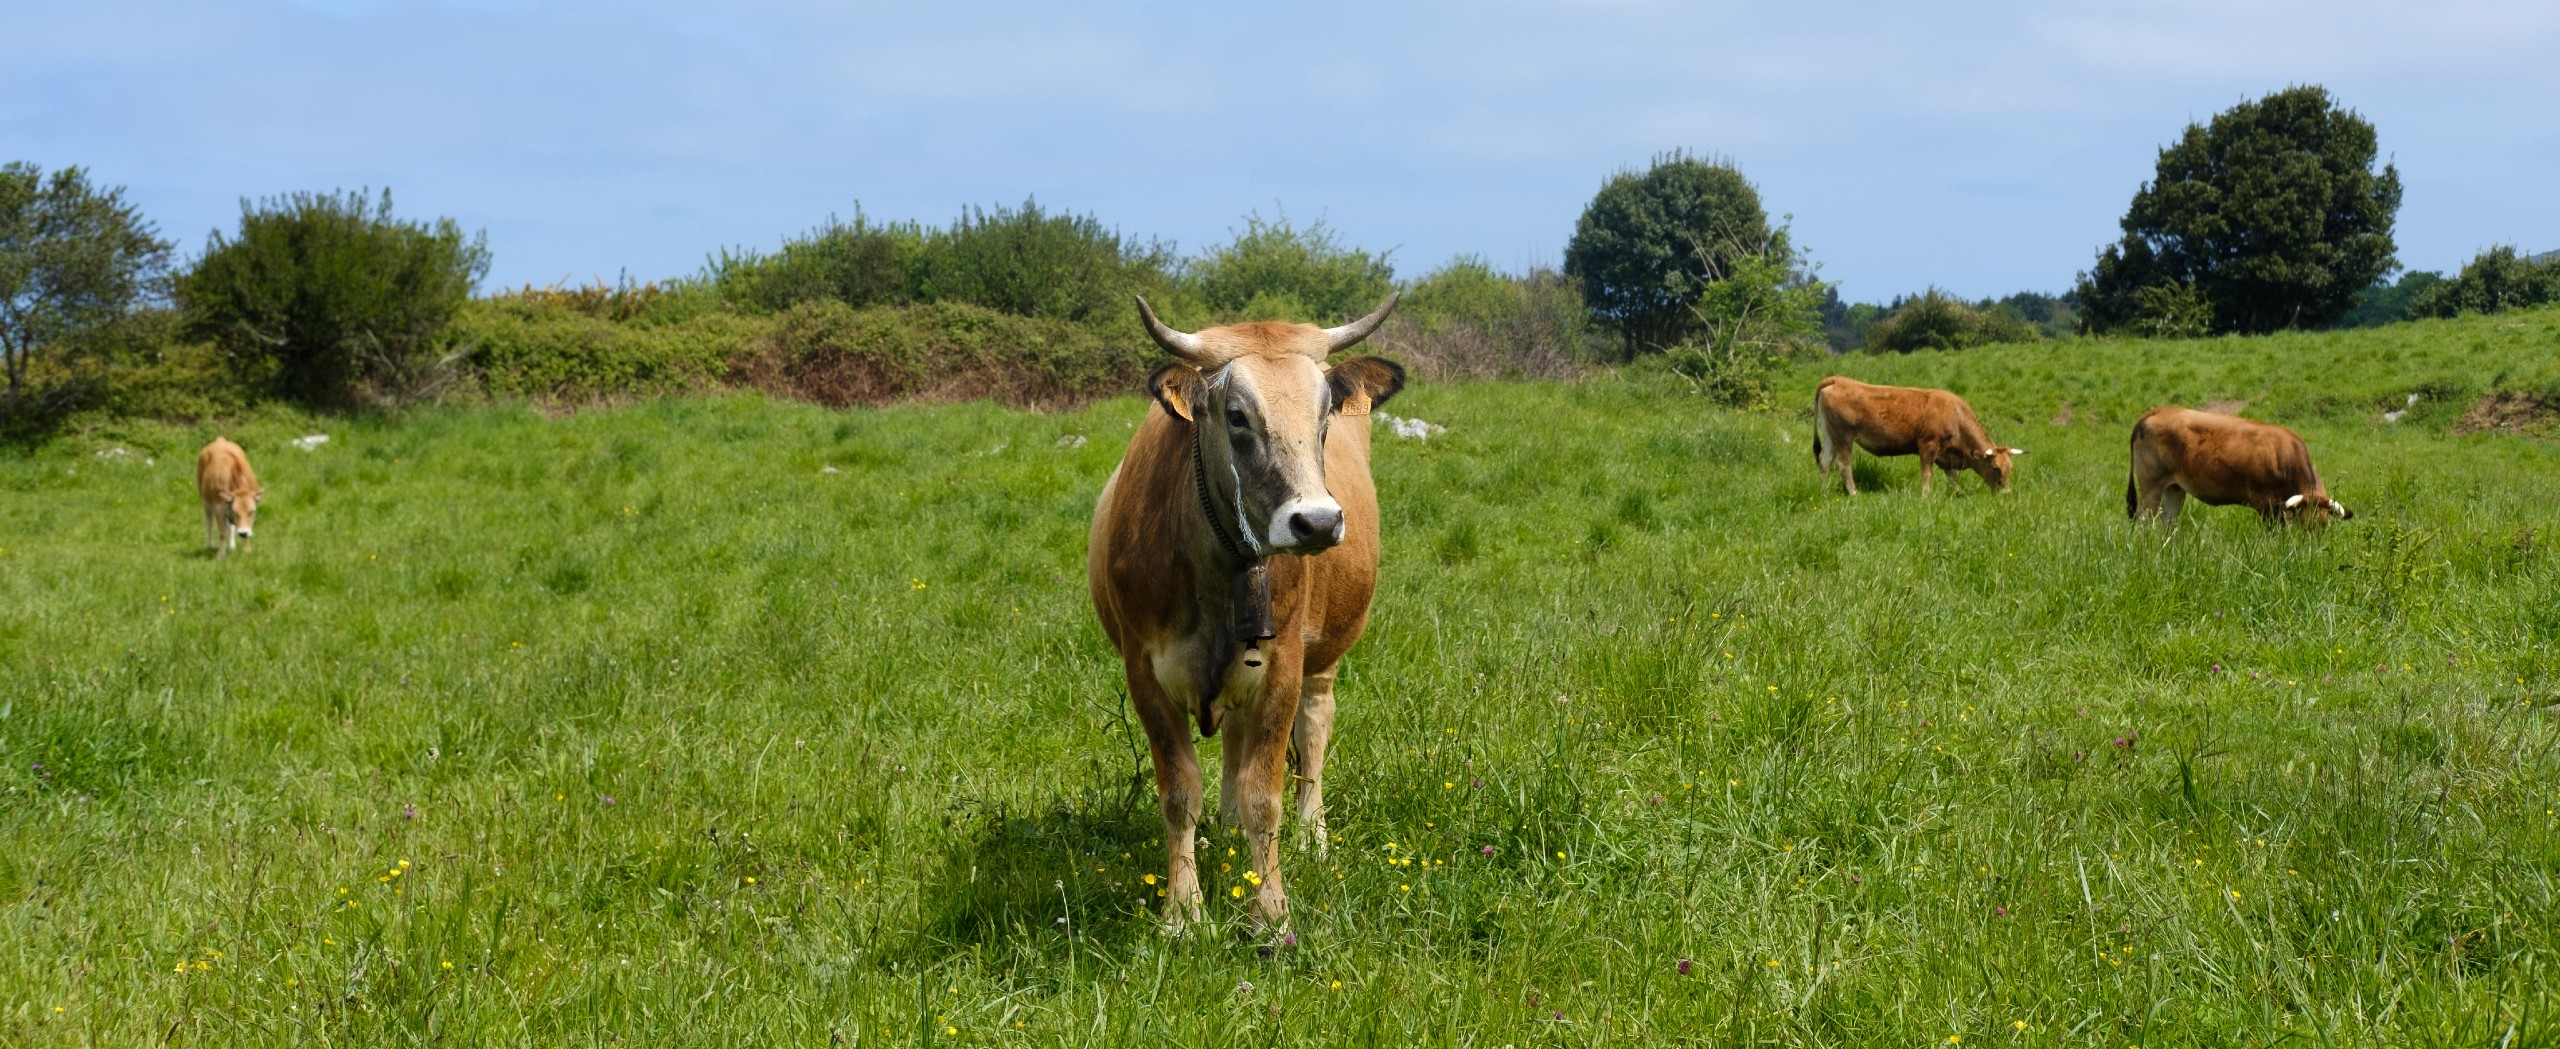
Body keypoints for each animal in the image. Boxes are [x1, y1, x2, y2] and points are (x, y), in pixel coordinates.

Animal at [1080, 292, 1402, 936]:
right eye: (1235, 415)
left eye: (1325, 414)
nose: (1317, 522)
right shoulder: (1144, 672)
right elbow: (1180, 792)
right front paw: (1182, 911)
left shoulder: (1282, 669)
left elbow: (1265, 792)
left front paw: (1271, 912)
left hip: (1323, 659)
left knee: (1314, 734)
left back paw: (1312, 835)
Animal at [1812, 376, 2027, 493]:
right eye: (1995, 468)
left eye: (2010, 468)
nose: (2006, 493)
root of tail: (1837, 379)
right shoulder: (1928, 445)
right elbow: (1927, 473)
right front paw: (1926, 495)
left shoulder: (1947, 456)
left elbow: (1952, 477)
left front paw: (1959, 493)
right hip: (1843, 437)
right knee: (1844, 464)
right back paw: (1854, 492)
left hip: (1830, 436)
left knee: (1824, 460)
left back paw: (1824, 490)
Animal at [2129, 406, 2344, 529]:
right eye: (2304, 525)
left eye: (2324, 526)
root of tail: (2160, 410)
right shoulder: (2266, 504)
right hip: (2151, 486)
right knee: (2144, 520)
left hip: (2174, 488)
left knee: (2168, 521)